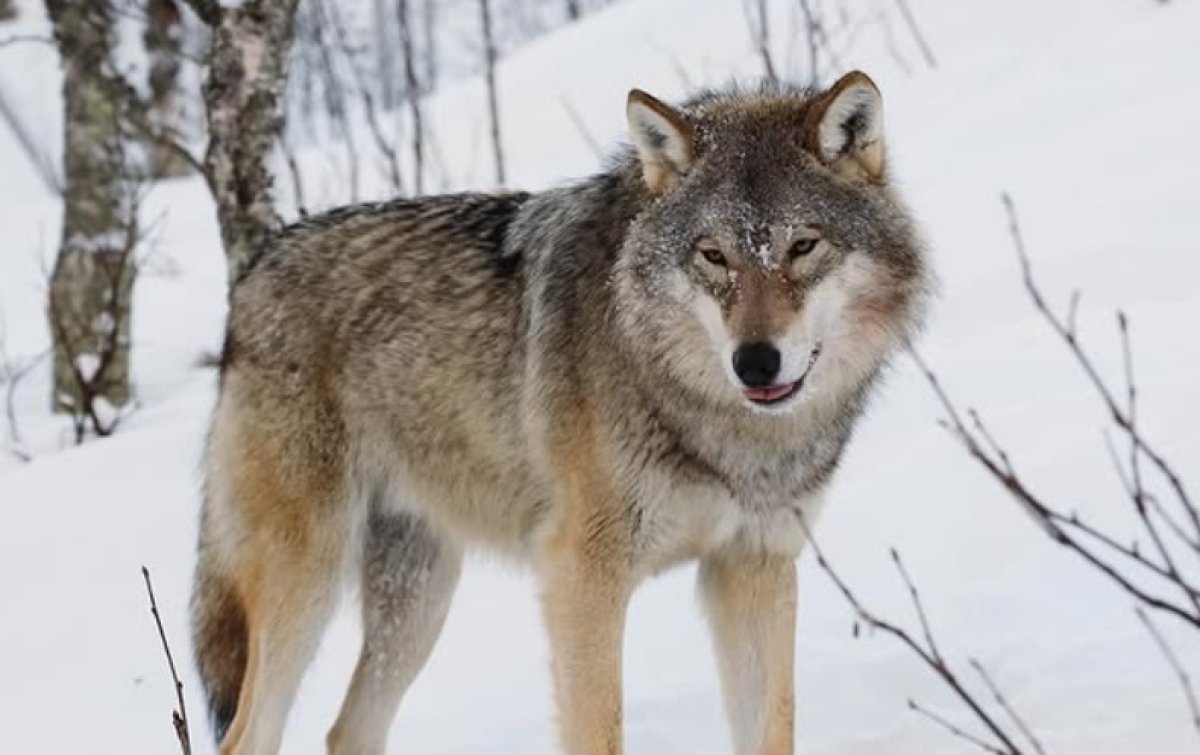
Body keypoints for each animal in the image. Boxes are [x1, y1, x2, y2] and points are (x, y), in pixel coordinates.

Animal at [192, 70, 931, 753]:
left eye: (803, 246)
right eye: (713, 255)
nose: (755, 362)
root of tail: (253, 272)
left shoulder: (754, 565)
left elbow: (771, 730)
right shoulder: (580, 575)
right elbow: (598, 732)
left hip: (418, 600)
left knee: (347, 730)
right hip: (308, 582)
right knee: (247, 736)